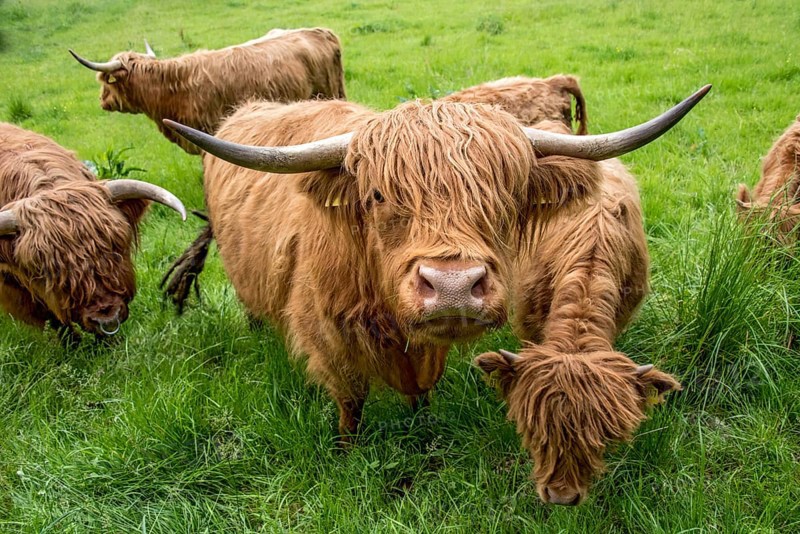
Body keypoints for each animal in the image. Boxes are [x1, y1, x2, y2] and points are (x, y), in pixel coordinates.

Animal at [159, 85, 707, 442]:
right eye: (378, 196)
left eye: (507, 195)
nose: (453, 287)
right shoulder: (327, 337)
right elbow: (350, 402)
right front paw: (345, 448)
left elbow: (421, 391)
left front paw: (422, 422)